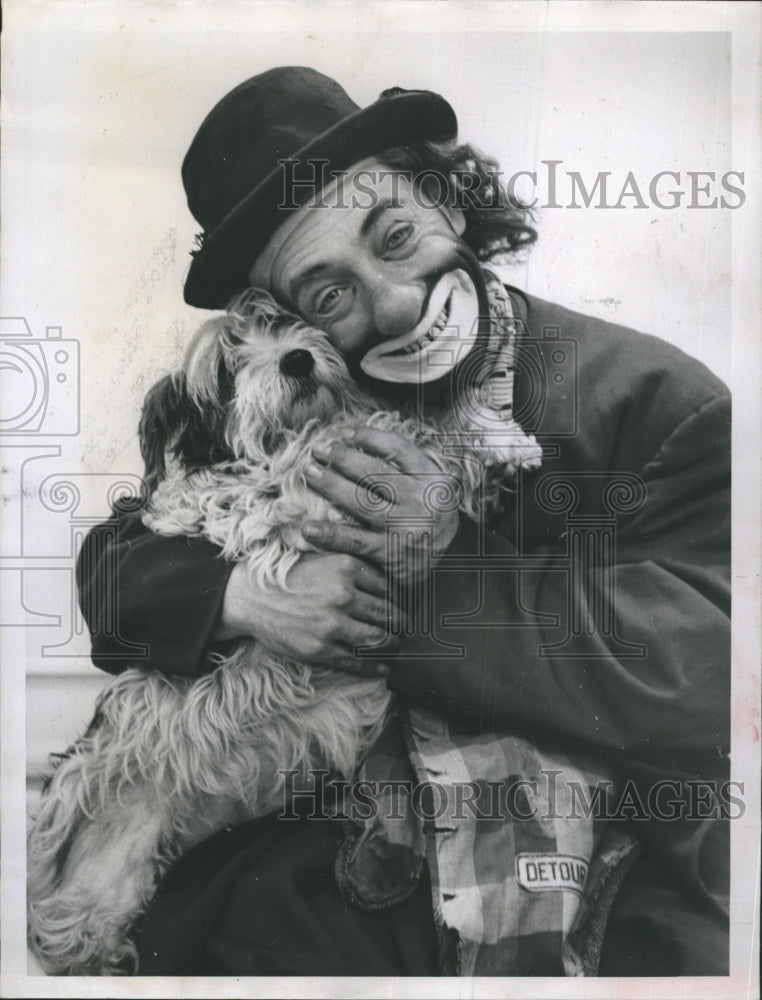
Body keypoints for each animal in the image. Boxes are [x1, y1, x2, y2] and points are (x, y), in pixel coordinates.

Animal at [26, 286, 536, 972]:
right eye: (224, 367)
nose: (296, 359)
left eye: (282, 321)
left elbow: (408, 430)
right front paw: (482, 437)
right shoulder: (286, 506)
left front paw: (495, 435)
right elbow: (384, 428)